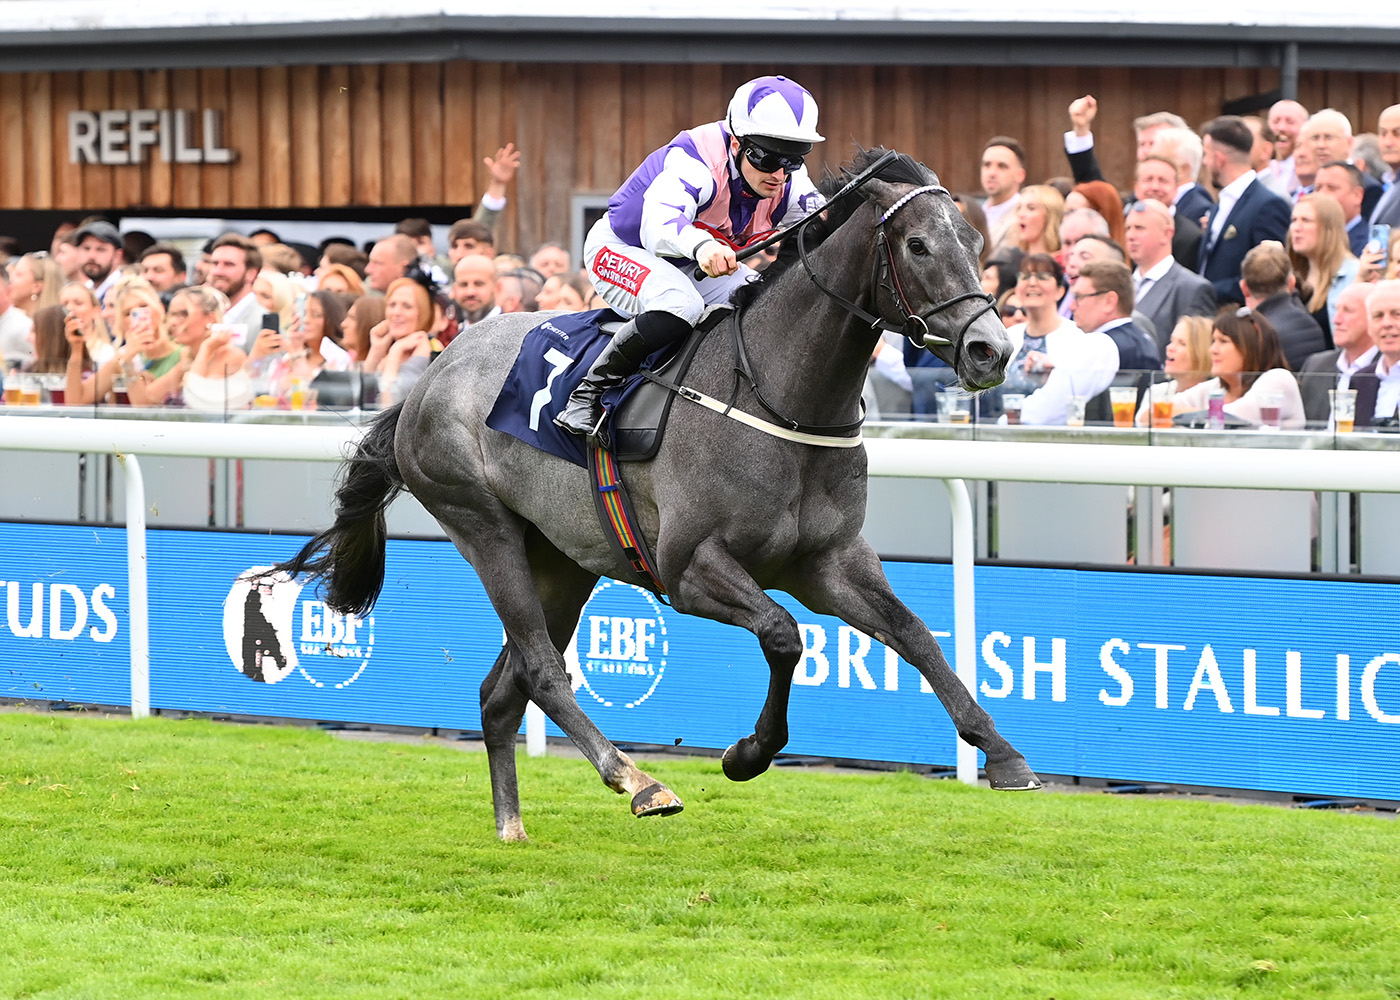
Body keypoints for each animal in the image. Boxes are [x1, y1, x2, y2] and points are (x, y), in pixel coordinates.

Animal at [274, 148, 1040, 842]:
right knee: (542, 670)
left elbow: (916, 635)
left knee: (501, 691)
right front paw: (746, 755)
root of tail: (432, 374)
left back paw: (512, 825)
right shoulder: (691, 567)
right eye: (917, 244)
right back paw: (636, 780)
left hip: (563, 559)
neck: (781, 401)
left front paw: (1003, 754)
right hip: (482, 526)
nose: (991, 351)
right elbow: (783, 634)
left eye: (976, 242)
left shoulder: (829, 562)